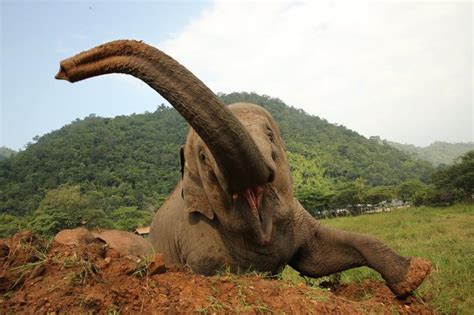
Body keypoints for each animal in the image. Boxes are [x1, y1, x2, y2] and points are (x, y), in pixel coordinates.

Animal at [54, 40, 430, 298]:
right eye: (204, 158)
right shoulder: (198, 240)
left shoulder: (296, 217)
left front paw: (414, 277)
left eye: (269, 135)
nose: (63, 69)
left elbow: (317, 258)